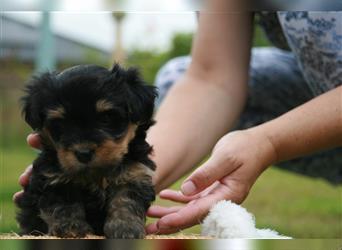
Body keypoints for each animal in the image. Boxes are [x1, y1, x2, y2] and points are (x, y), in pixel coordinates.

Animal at [16, 63, 158, 238]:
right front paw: (71, 228)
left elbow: (126, 200)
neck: (96, 173)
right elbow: (64, 204)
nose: (83, 153)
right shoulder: (53, 178)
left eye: (106, 118)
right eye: (61, 123)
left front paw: (126, 228)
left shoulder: (134, 174)